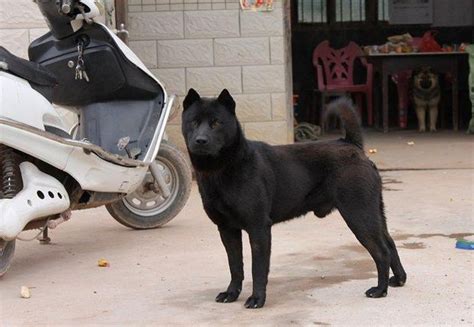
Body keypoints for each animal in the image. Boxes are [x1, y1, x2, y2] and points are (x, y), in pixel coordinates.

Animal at [182, 89, 408, 310]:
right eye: (193, 122)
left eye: (216, 123)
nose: (200, 140)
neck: (223, 169)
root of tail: (352, 145)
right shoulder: (227, 229)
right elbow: (235, 266)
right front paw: (231, 294)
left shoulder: (258, 228)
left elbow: (258, 269)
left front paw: (257, 299)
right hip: (373, 212)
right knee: (390, 243)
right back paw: (398, 280)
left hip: (359, 215)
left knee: (381, 252)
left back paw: (380, 290)